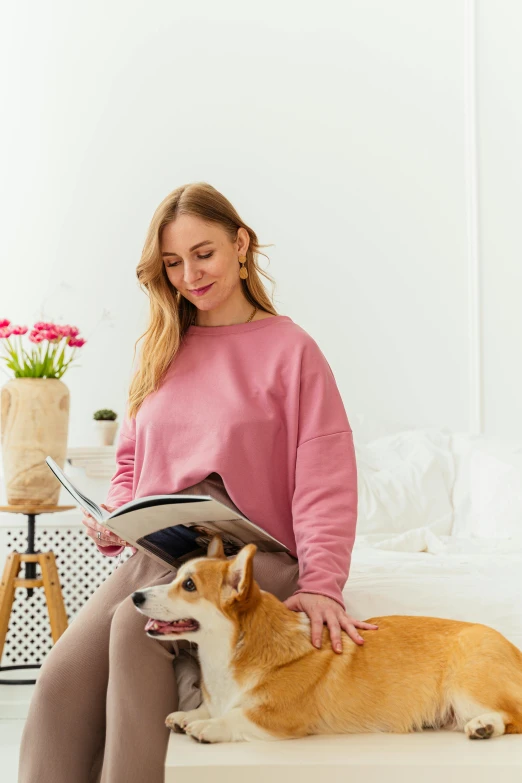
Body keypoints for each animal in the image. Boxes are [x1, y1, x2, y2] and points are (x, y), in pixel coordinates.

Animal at [131, 536, 520, 744]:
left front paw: (208, 726)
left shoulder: (280, 717)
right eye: (177, 578)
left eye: (189, 586)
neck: (231, 649)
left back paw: (484, 726)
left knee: (513, 717)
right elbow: (211, 708)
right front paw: (189, 715)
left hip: (466, 684)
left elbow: (236, 717)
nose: (135, 596)